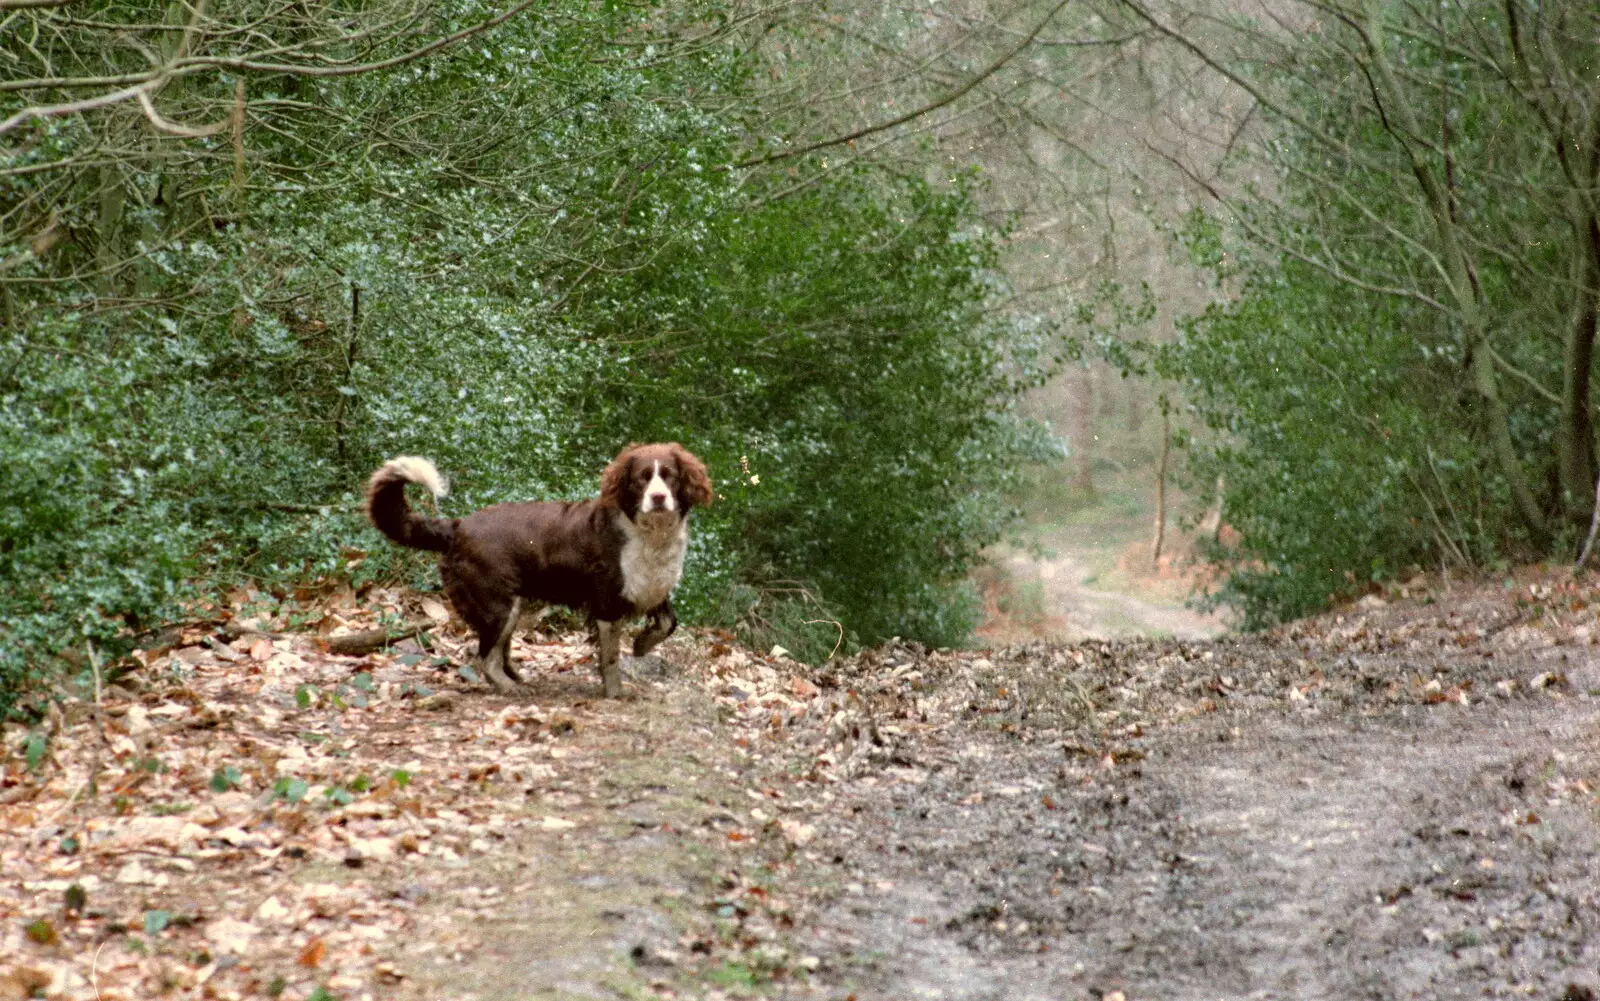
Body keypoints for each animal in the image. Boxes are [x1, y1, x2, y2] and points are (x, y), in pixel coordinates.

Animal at [366, 444, 716, 693]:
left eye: (669, 476)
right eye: (642, 478)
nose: (658, 497)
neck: (649, 533)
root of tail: (458, 526)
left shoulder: (650, 586)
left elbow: (668, 623)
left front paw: (642, 645)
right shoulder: (606, 601)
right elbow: (611, 657)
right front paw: (616, 692)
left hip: (511, 605)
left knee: (500, 651)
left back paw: (518, 680)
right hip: (498, 604)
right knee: (485, 656)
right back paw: (509, 688)